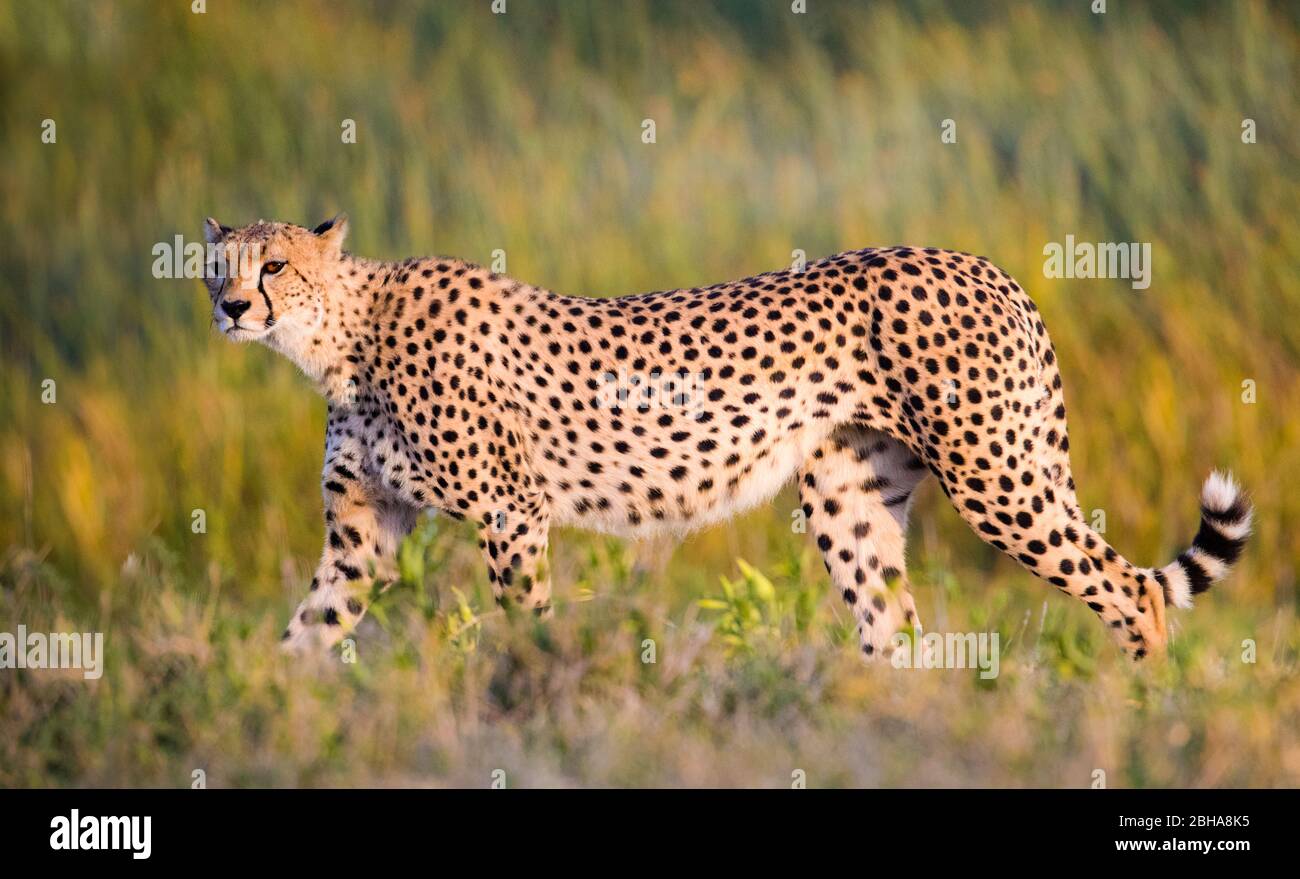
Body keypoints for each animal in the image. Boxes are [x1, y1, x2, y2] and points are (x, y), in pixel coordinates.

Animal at [200, 214, 1248, 660]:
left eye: (276, 265)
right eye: (220, 264)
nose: (230, 306)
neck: (339, 337)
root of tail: (984, 263)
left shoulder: (512, 510)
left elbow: (522, 623)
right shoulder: (362, 534)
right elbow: (308, 630)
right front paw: (262, 708)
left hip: (999, 477)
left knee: (1129, 591)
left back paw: (1139, 714)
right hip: (848, 495)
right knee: (897, 625)